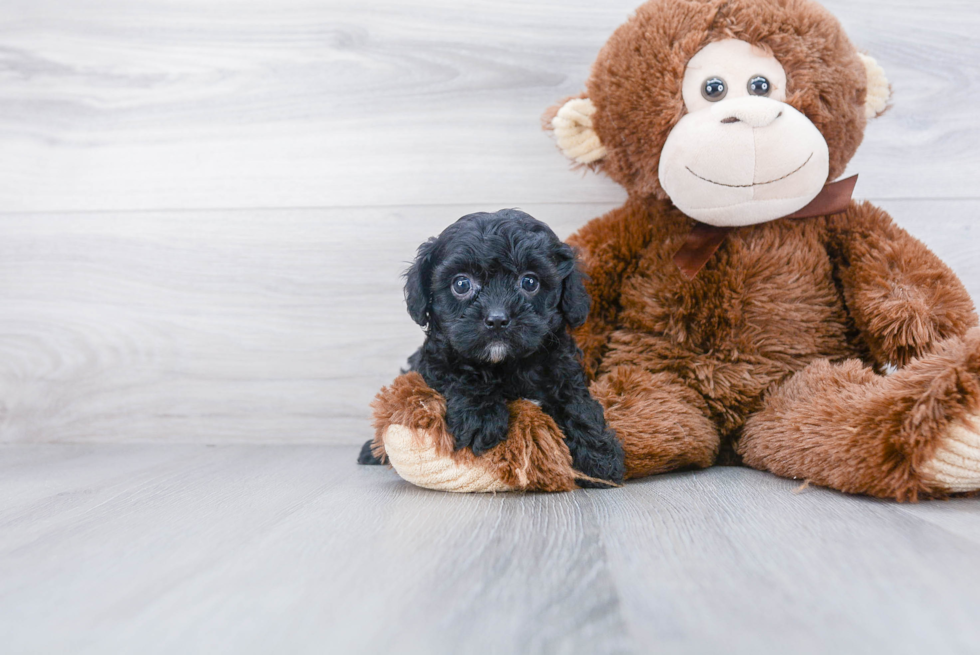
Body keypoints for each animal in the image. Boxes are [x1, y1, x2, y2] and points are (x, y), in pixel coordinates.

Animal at [362, 208, 628, 484]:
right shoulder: (436, 363)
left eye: (530, 282)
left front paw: (599, 454)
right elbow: (461, 376)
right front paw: (480, 419)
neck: (506, 364)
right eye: (461, 284)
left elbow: (576, 402)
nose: (497, 319)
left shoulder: (561, 367)